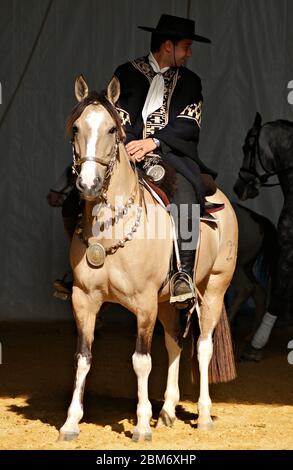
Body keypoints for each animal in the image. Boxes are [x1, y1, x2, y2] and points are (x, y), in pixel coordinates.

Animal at [58, 75, 237, 442]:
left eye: (112, 129)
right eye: (77, 128)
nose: (88, 183)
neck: (109, 229)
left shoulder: (144, 304)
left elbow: (141, 360)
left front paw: (141, 425)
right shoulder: (84, 300)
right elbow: (83, 357)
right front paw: (71, 423)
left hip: (213, 289)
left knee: (203, 347)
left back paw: (204, 415)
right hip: (168, 302)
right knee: (174, 343)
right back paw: (167, 410)